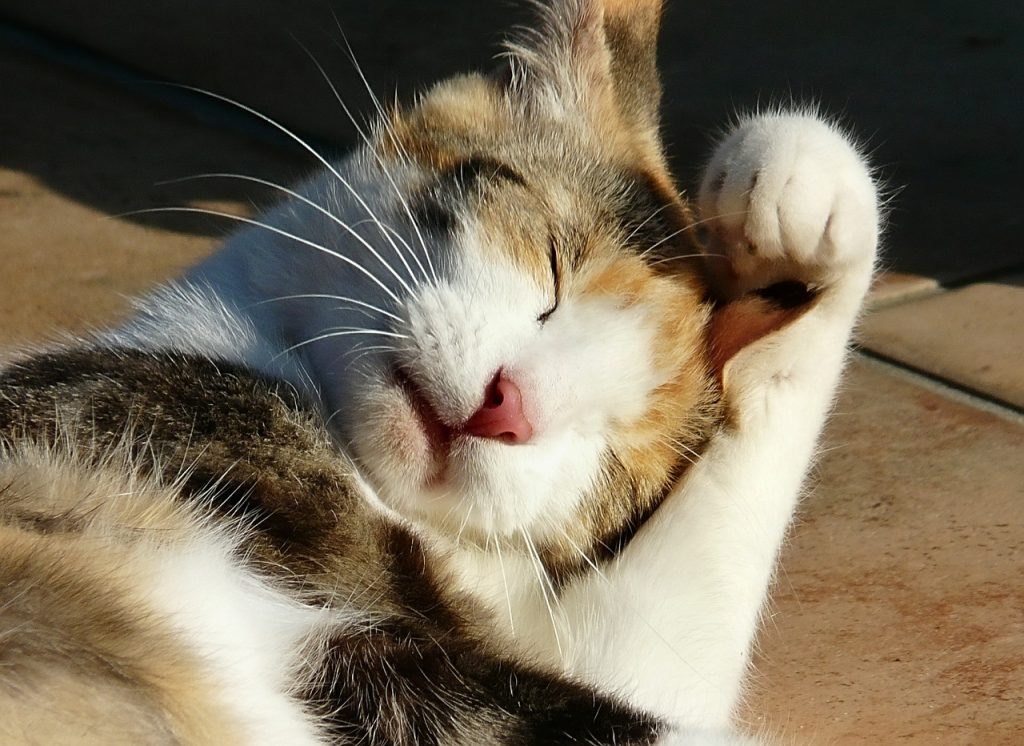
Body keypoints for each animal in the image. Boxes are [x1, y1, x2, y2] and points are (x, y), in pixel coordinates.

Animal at [0, 2, 880, 740]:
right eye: (554, 267)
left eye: (617, 459)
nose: (508, 406)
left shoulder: (547, 644)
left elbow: (664, 644)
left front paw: (806, 215)